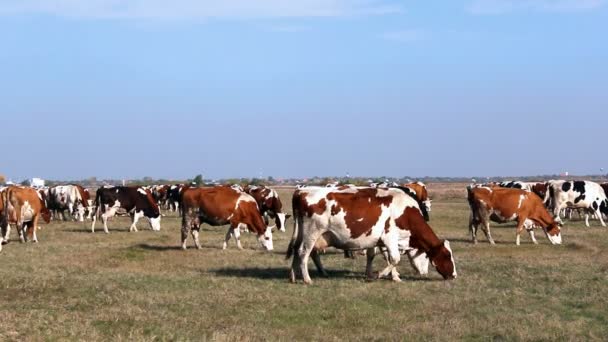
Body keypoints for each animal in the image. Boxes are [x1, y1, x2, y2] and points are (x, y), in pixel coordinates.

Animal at [286, 186, 456, 284]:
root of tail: (301, 191)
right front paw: (379, 275)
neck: (405, 212)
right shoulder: (390, 238)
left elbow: (378, 257)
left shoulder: (378, 241)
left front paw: (388, 276)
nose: (454, 275)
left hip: (301, 233)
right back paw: (307, 279)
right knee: (303, 252)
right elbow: (395, 259)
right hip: (312, 232)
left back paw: (293, 277)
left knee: (296, 250)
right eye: (447, 256)